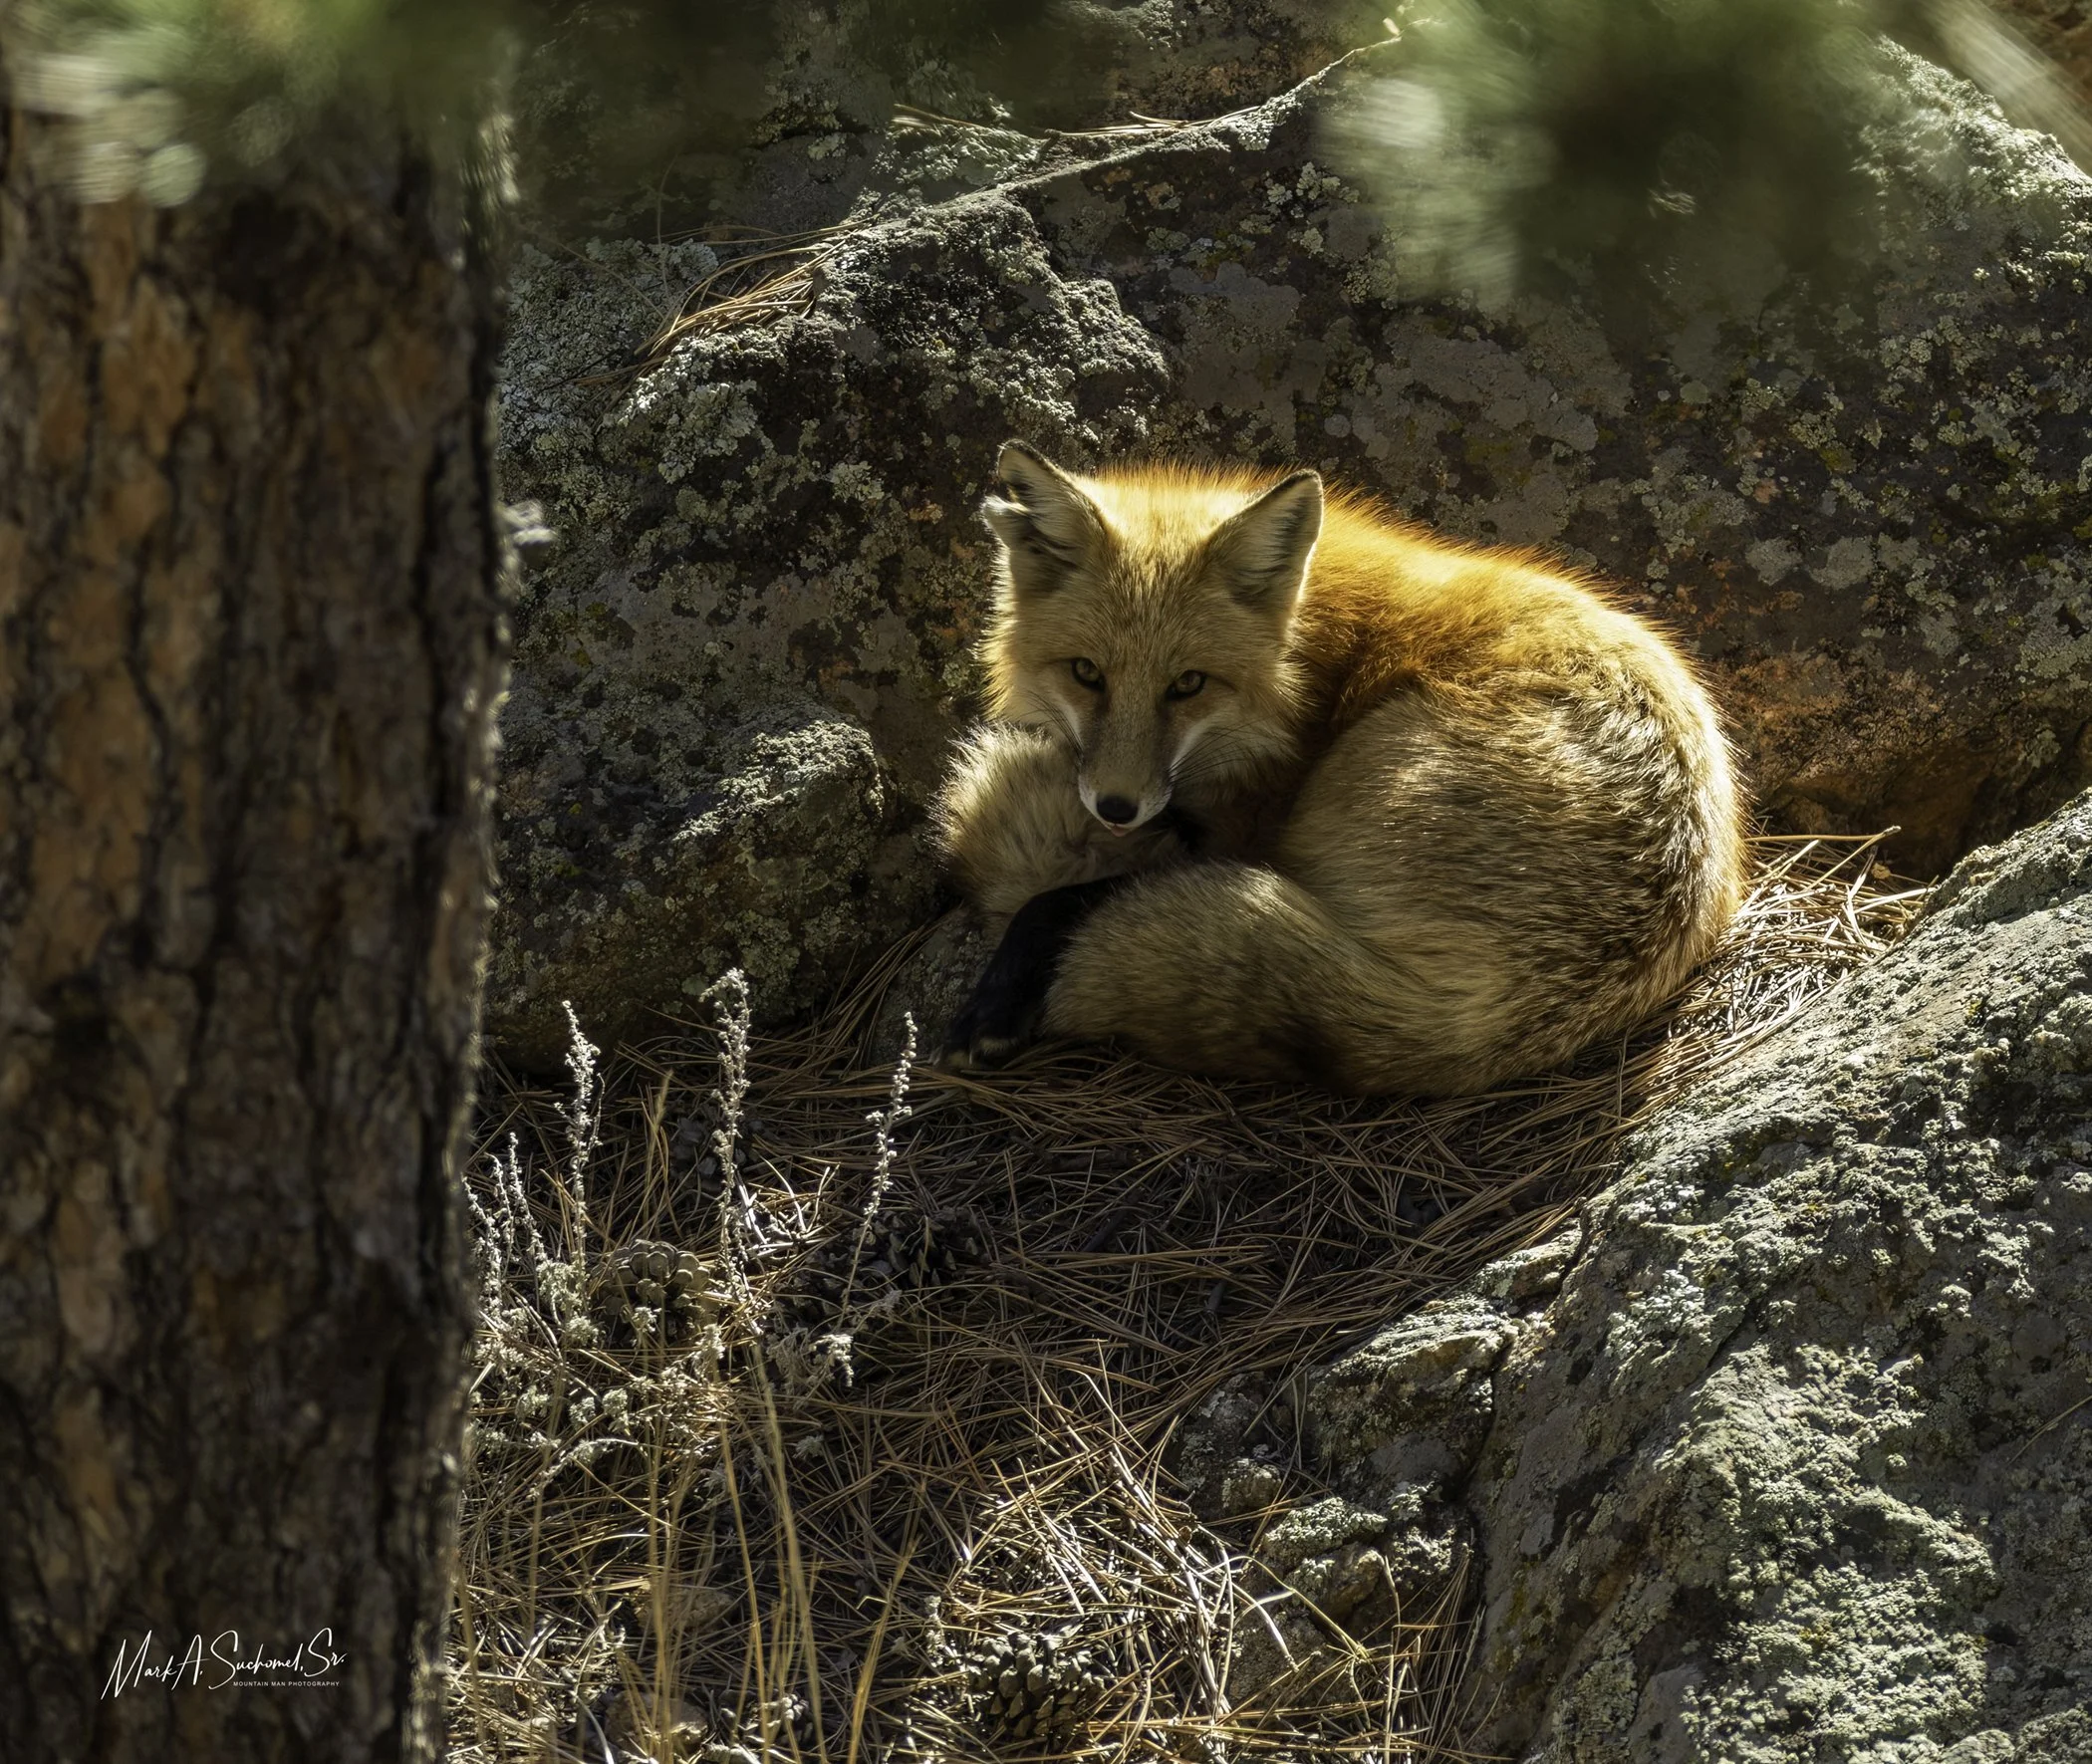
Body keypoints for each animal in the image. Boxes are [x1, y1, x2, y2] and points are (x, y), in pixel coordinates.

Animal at [932, 441, 1746, 1096]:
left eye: (1188, 684)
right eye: (1086, 673)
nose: (1116, 807)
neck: (1301, 655)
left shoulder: (1241, 827)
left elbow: (1061, 897)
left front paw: (993, 1001)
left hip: (1324, 821)